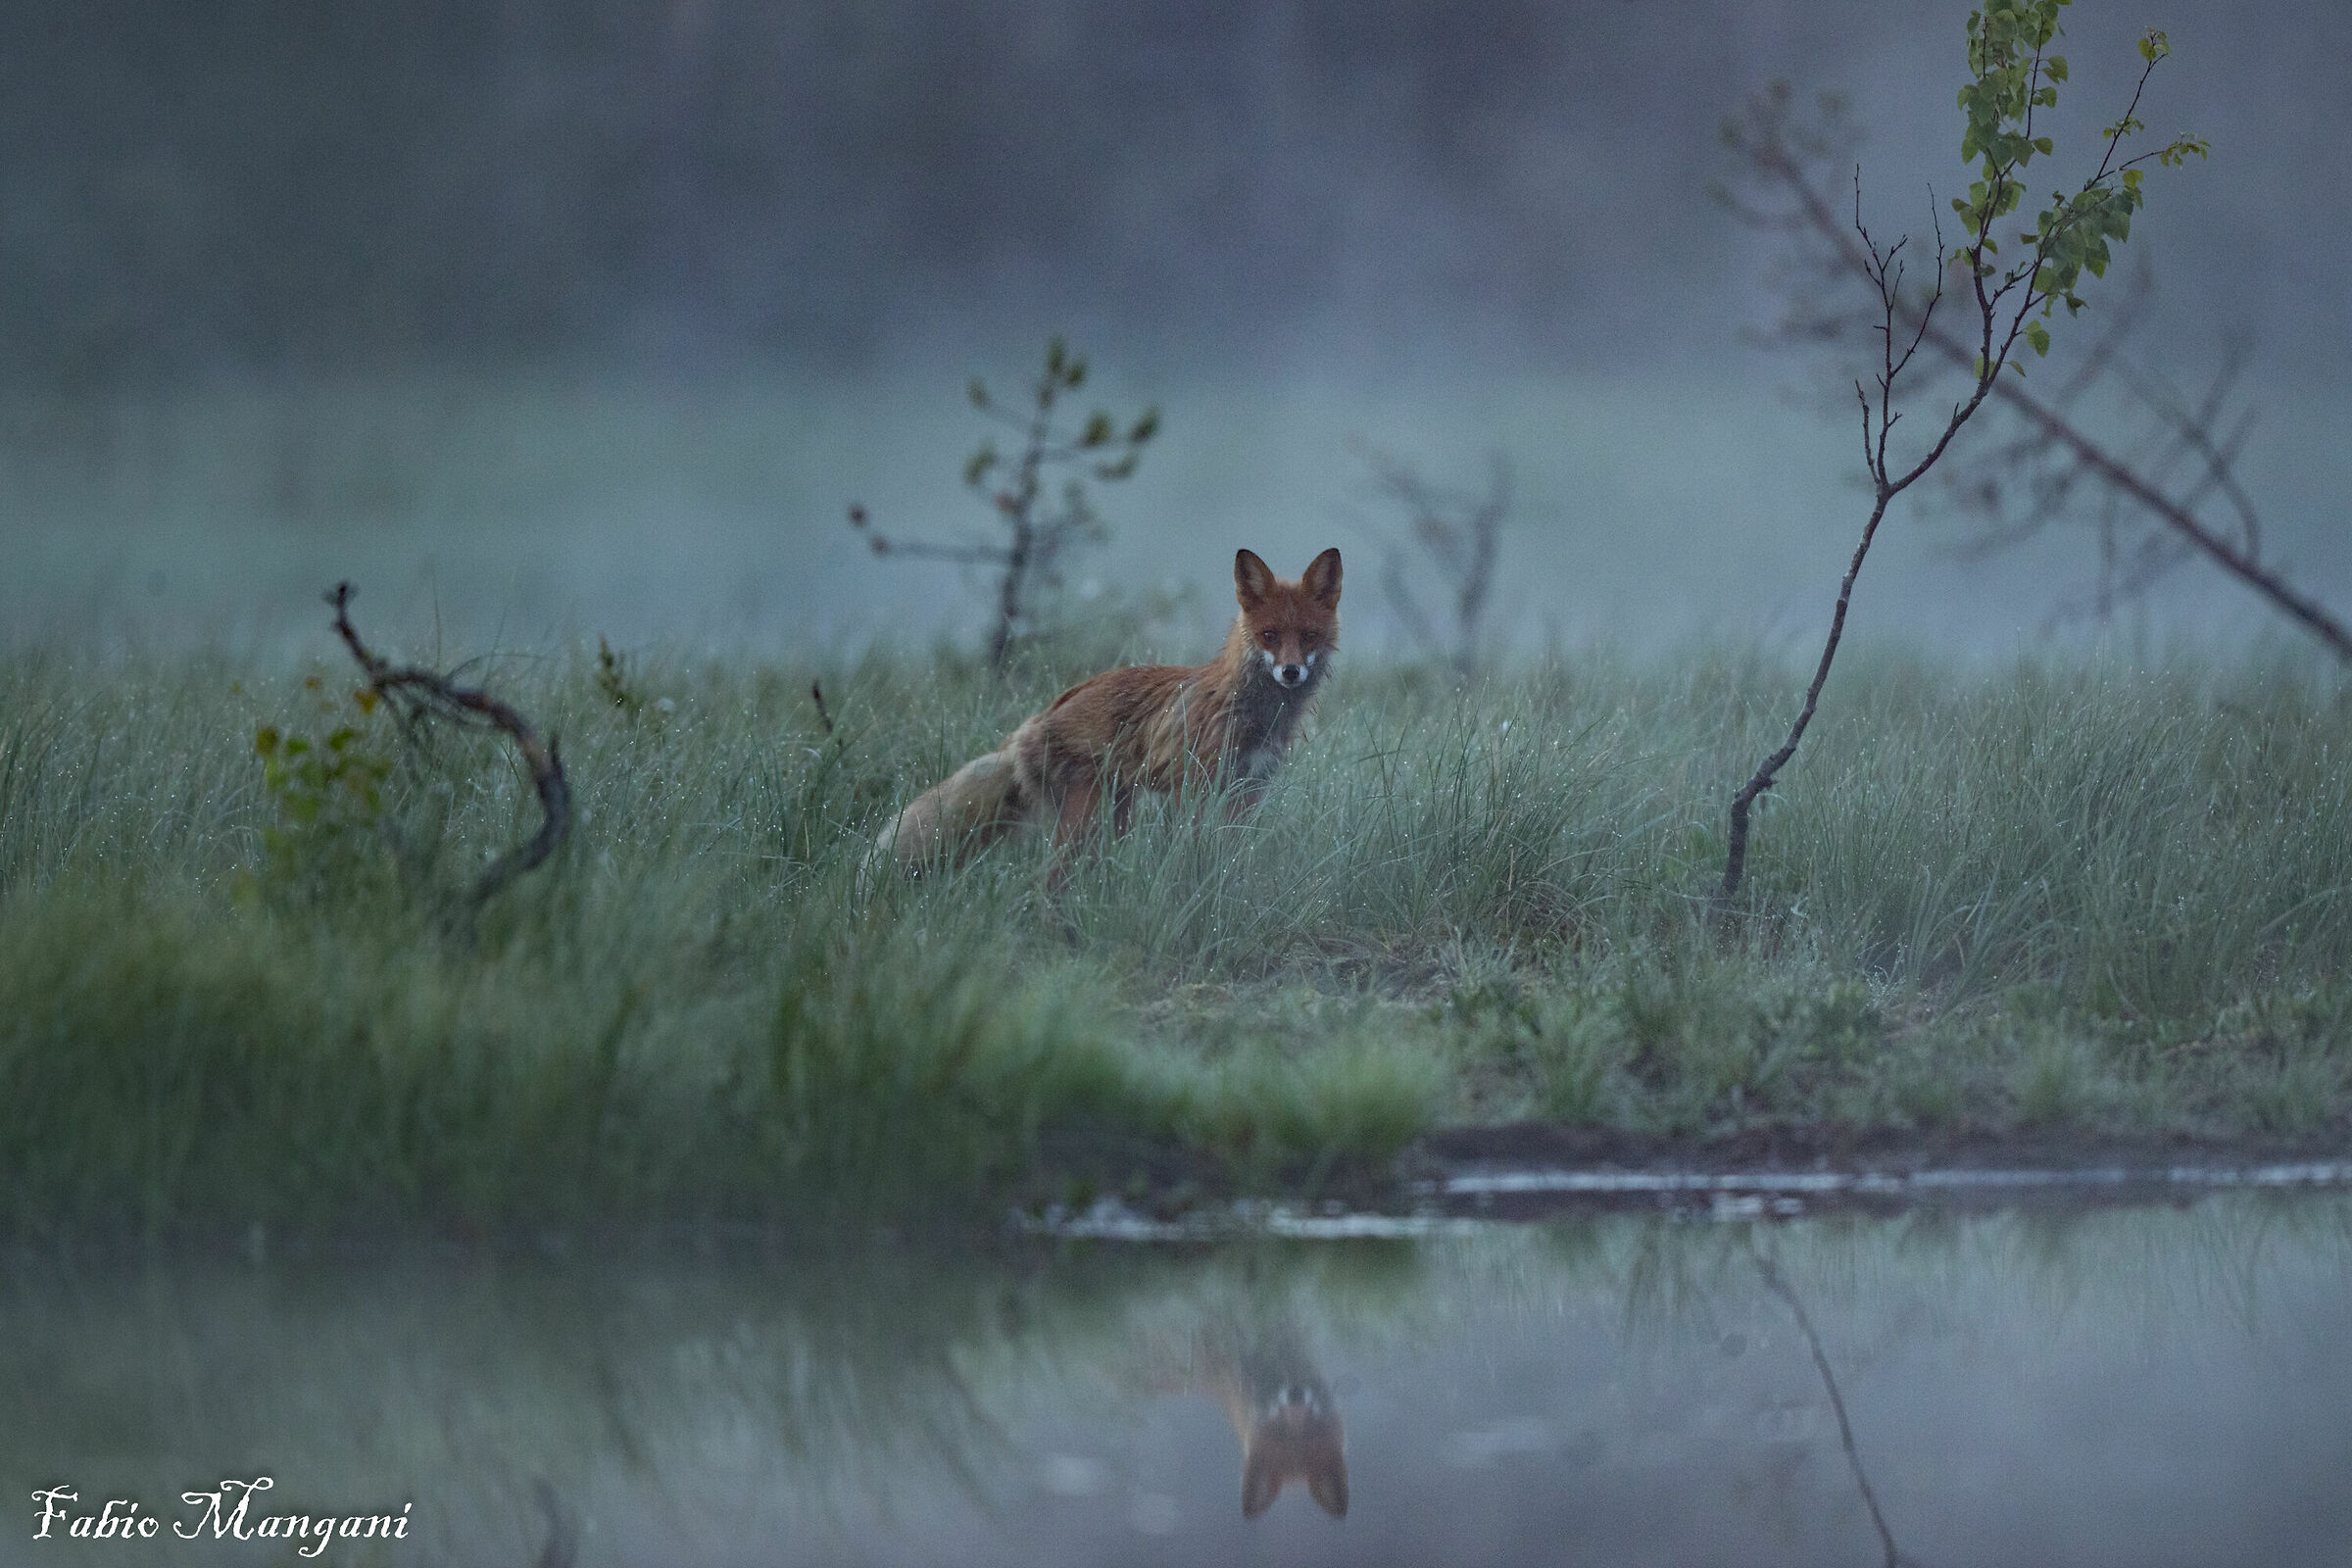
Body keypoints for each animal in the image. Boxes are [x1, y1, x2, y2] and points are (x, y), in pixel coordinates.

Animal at [874, 546, 1341, 878]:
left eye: (1308, 635)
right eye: (1270, 635)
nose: (1291, 671)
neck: (1253, 714)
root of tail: (1031, 725)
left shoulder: (1248, 791)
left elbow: (1231, 858)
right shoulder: (1192, 788)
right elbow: (1193, 855)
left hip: (1115, 817)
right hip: (1088, 822)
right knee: (1045, 882)